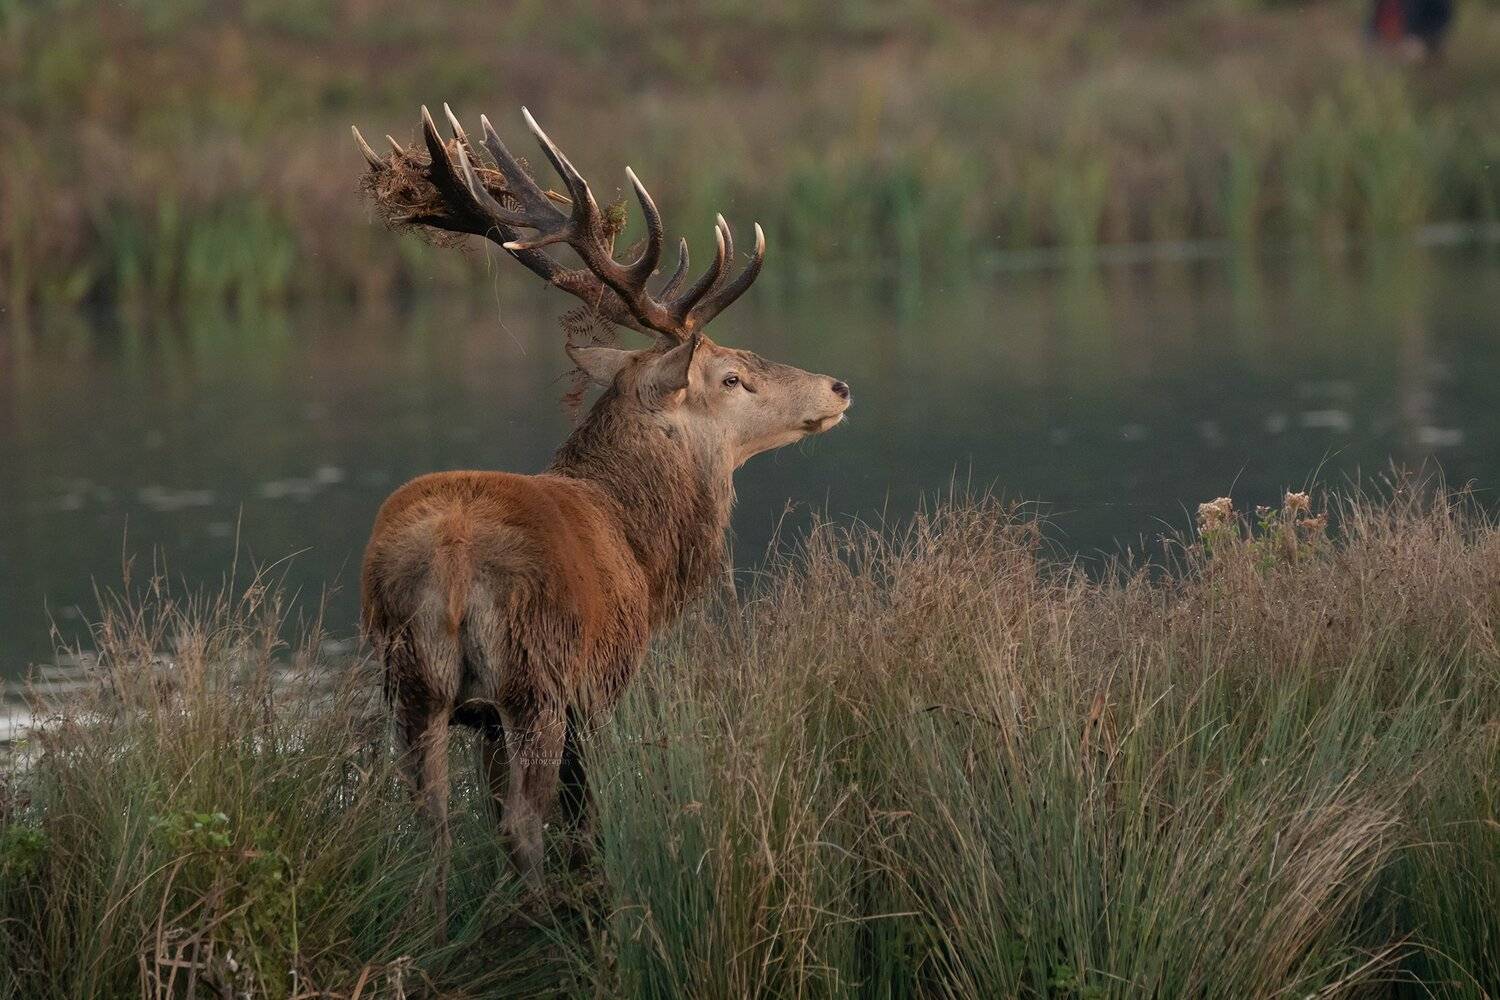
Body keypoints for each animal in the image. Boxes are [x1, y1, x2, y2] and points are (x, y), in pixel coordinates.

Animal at [352, 104, 851, 927]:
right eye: (732, 377)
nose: (838, 387)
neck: (642, 550)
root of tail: (452, 558)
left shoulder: (480, 719)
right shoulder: (597, 686)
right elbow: (583, 821)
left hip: (411, 684)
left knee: (432, 823)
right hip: (536, 678)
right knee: (525, 822)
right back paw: (547, 918)